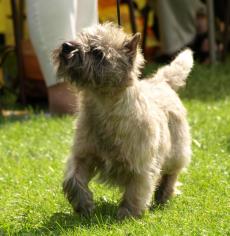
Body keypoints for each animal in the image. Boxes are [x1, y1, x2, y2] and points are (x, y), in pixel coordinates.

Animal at [53, 22, 193, 219]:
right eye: (79, 38)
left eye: (97, 52)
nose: (66, 46)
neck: (102, 108)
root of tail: (161, 82)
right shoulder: (83, 155)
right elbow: (73, 179)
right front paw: (84, 205)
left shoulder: (141, 165)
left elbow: (136, 191)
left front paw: (127, 215)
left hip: (177, 153)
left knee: (172, 174)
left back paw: (163, 194)